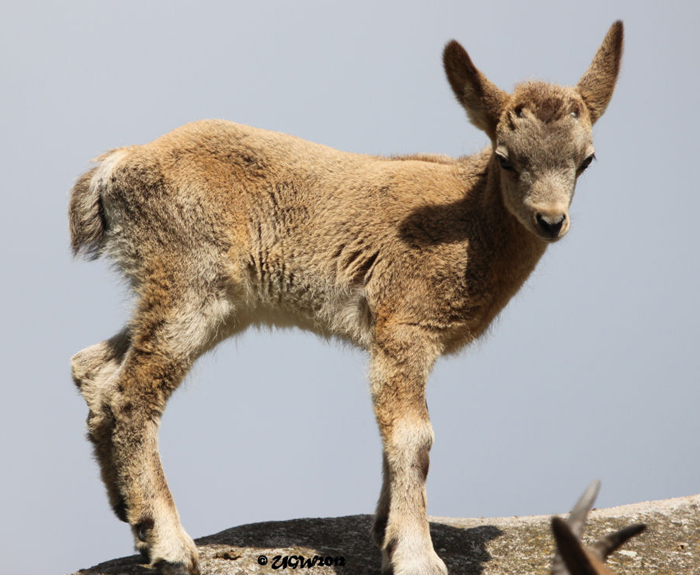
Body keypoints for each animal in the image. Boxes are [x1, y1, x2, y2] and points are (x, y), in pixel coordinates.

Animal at [69, 21, 624, 575]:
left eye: (586, 160)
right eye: (506, 158)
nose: (550, 220)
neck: (468, 225)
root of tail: (118, 166)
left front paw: (384, 532)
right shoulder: (403, 327)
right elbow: (413, 437)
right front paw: (416, 555)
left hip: (208, 303)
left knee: (94, 368)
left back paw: (130, 517)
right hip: (190, 281)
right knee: (132, 392)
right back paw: (168, 544)